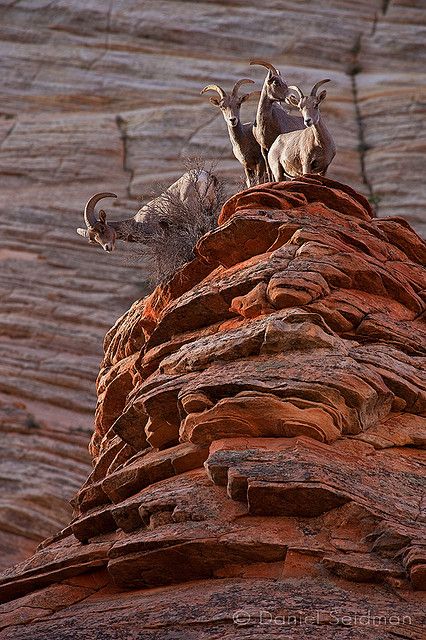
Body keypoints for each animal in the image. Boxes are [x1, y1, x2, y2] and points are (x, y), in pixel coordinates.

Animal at [77, 170, 220, 252]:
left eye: (102, 229)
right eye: (93, 240)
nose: (107, 248)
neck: (136, 222)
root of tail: (203, 175)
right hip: (211, 206)